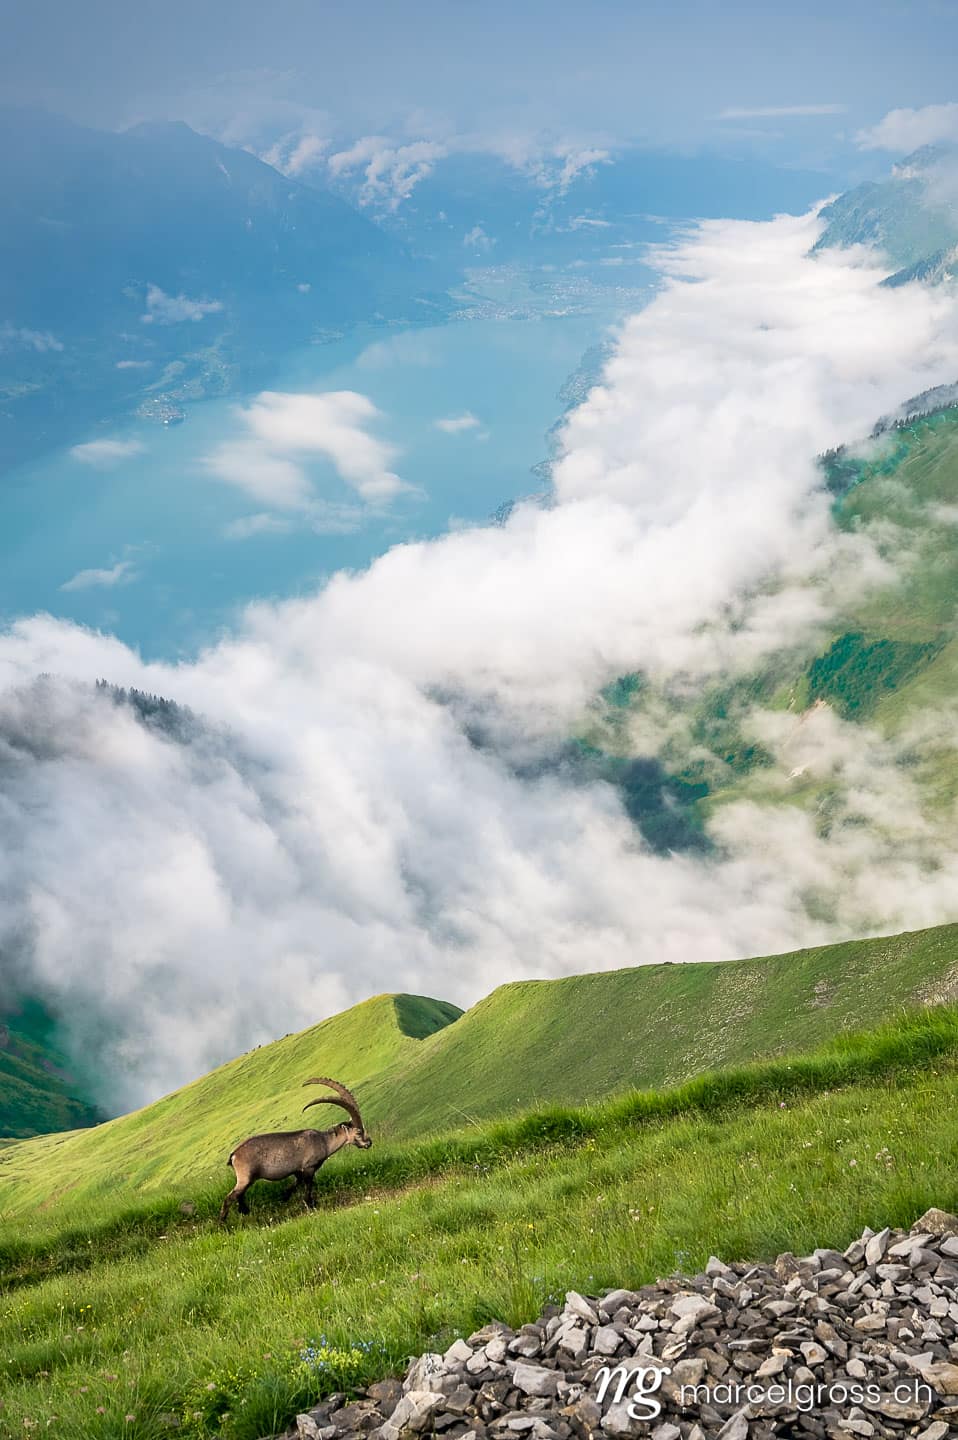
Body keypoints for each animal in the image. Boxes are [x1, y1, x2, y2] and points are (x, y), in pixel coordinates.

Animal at [219, 1076, 372, 1221]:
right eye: (359, 1132)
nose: (369, 1143)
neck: (323, 1141)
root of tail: (234, 1155)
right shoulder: (309, 1168)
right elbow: (308, 1186)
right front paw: (310, 1204)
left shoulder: (298, 1171)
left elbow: (296, 1184)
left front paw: (285, 1197)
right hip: (245, 1177)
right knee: (229, 1198)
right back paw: (223, 1223)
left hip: (248, 1179)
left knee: (239, 1195)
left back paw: (244, 1210)